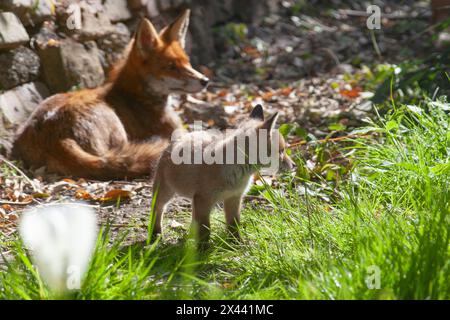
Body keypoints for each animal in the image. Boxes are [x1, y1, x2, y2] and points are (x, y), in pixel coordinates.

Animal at [11, 9, 209, 180]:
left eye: (187, 63)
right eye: (171, 67)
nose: (205, 80)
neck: (138, 96)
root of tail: (55, 135)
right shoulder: (176, 130)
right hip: (115, 124)